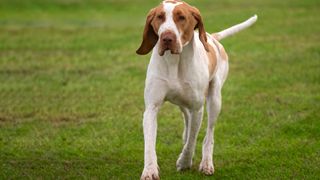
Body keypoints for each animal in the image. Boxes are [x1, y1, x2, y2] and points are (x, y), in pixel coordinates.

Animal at [136, 0, 258, 179]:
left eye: (181, 17)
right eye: (159, 17)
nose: (167, 38)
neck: (174, 62)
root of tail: (213, 38)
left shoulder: (197, 108)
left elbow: (193, 140)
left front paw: (184, 162)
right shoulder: (151, 108)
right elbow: (150, 145)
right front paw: (150, 170)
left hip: (215, 100)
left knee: (209, 134)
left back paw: (206, 162)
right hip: (182, 103)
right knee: (187, 121)